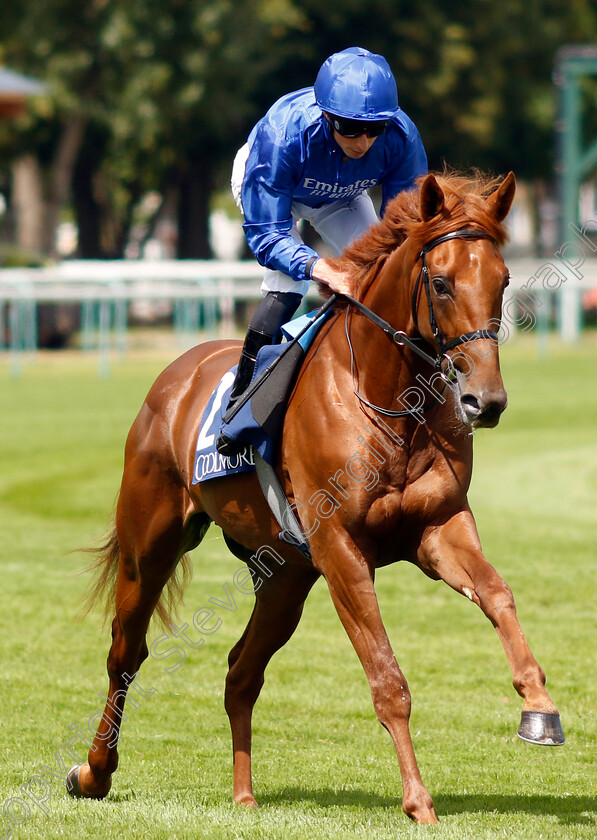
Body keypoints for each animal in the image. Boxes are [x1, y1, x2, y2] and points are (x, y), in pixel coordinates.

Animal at [70, 171, 564, 820]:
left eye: (503, 281)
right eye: (440, 282)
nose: (486, 401)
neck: (385, 399)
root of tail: (174, 376)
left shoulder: (438, 528)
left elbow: (499, 594)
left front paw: (540, 707)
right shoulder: (340, 549)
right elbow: (388, 679)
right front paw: (418, 802)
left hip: (283, 575)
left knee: (240, 672)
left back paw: (244, 794)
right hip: (148, 545)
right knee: (125, 655)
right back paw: (93, 771)